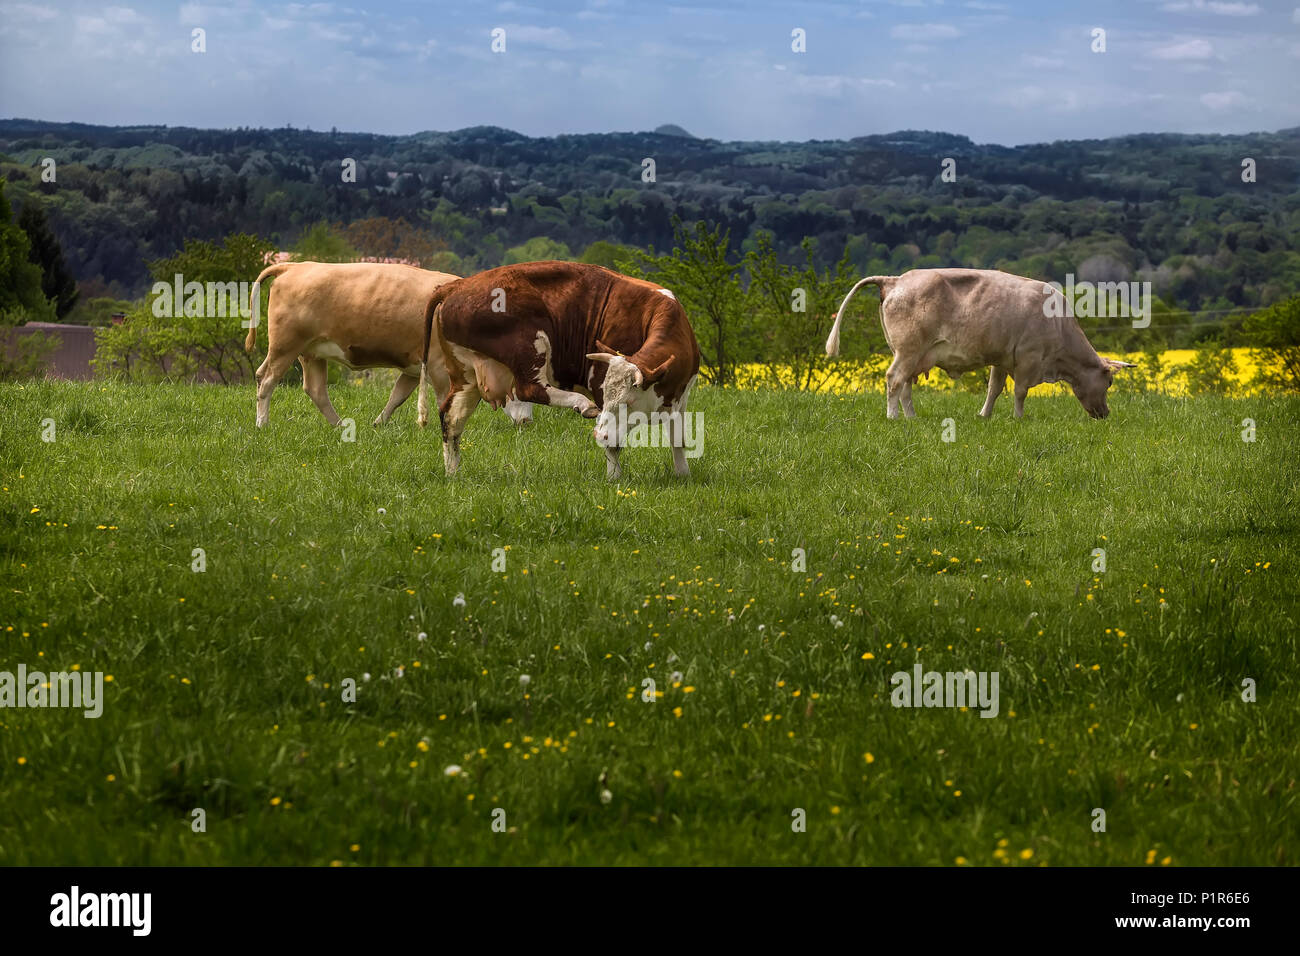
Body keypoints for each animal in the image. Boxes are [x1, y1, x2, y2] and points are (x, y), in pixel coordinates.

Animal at [244, 260, 533, 429]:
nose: (527, 421)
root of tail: (295, 265)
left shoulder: (414, 367)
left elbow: (397, 396)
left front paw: (379, 423)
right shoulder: (439, 365)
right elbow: (445, 397)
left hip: (312, 352)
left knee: (315, 389)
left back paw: (339, 425)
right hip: (285, 346)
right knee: (266, 379)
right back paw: (262, 424)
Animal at [416, 260, 702, 478]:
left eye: (629, 402)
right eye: (608, 396)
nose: (598, 434)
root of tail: (456, 285)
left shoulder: (681, 398)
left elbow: (678, 439)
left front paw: (683, 475)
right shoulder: (599, 383)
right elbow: (613, 445)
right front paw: (614, 479)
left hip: (466, 376)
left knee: (451, 418)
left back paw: (453, 472)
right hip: (531, 343)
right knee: (530, 388)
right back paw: (581, 403)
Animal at [821, 269, 1138, 418]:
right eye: (1109, 383)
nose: (1105, 414)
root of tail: (895, 280)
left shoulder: (1003, 358)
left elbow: (994, 389)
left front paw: (984, 415)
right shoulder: (1029, 358)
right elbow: (1020, 392)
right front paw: (1018, 418)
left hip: (910, 353)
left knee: (905, 385)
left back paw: (911, 417)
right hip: (908, 350)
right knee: (894, 379)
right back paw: (894, 417)